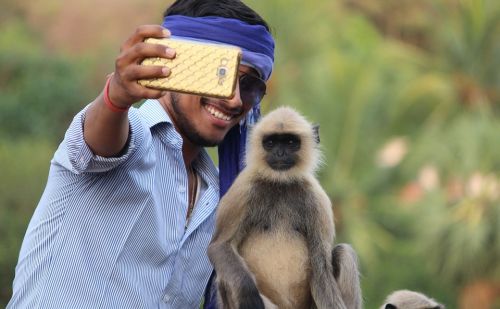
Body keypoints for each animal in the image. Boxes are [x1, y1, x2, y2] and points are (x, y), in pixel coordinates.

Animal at [207, 106, 364, 308]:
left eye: (290, 142)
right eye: (271, 143)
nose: (280, 154)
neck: (280, 184)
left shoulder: (317, 200)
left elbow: (321, 269)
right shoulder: (243, 190)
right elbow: (219, 246)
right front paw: (247, 292)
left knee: (343, 252)